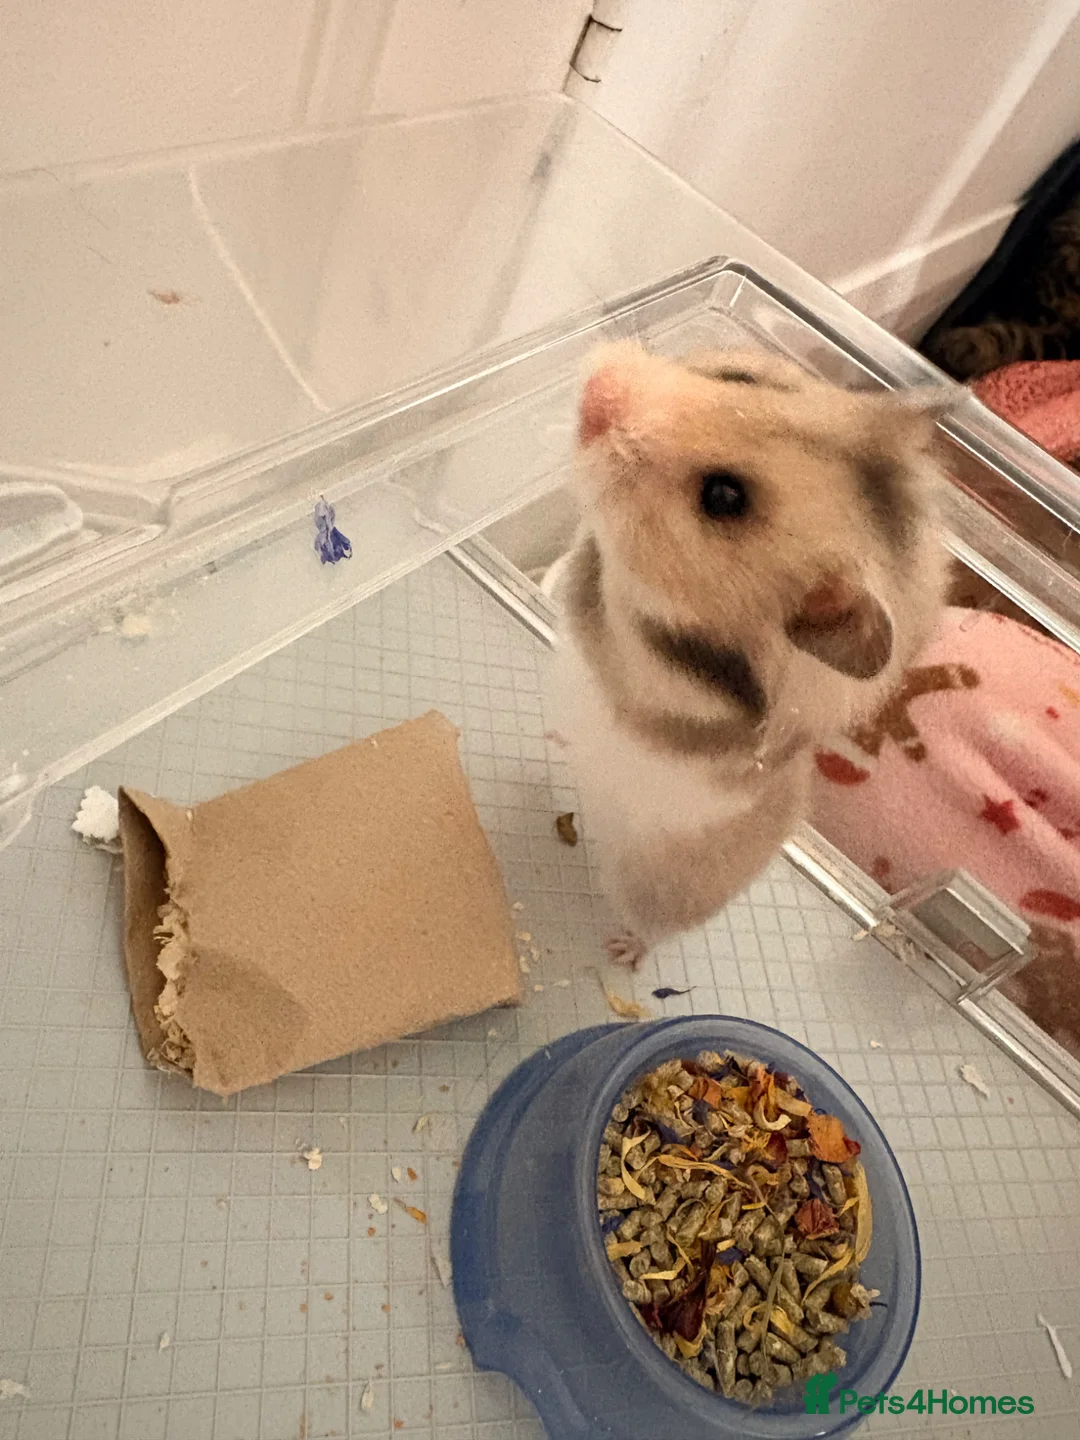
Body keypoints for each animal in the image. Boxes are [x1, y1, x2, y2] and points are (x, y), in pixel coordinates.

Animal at [548, 342, 948, 965]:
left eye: (723, 496)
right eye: (740, 377)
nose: (598, 390)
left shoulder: (650, 670)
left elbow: (609, 606)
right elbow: (583, 558)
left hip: (658, 892)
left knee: (655, 929)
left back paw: (622, 952)